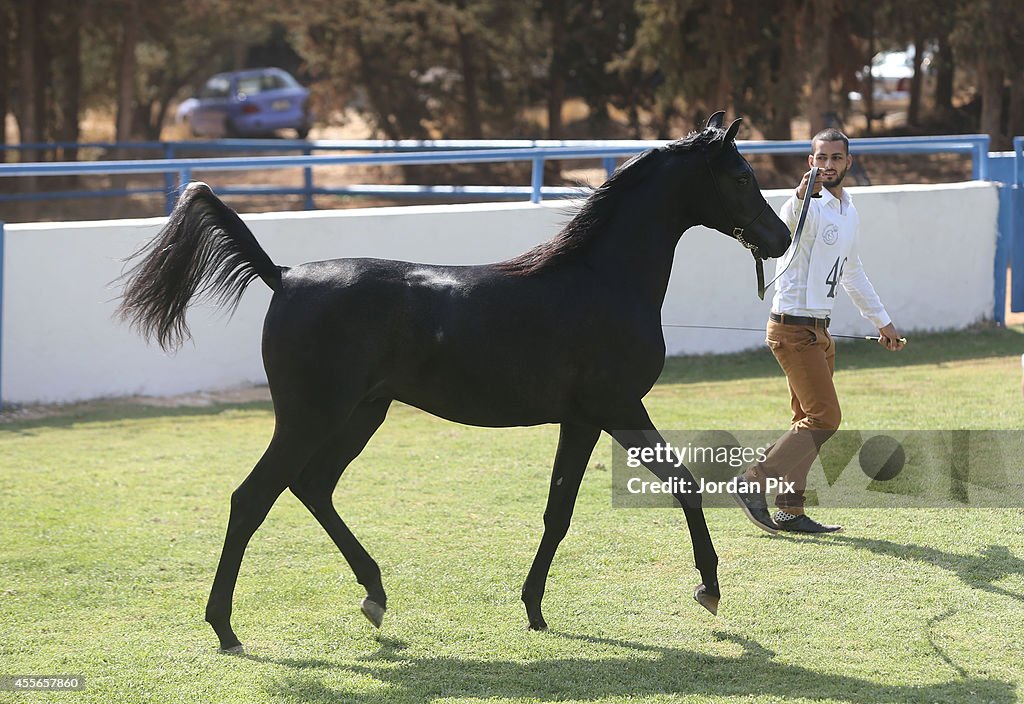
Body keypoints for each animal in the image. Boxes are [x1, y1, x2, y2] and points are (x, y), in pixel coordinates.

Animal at [116, 112, 786, 650]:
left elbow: (559, 512)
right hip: (311, 417)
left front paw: (534, 610)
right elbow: (685, 485)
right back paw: (226, 628)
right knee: (253, 497)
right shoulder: (619, 407)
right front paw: (709, 589)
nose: (778, 238)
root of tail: (281, 275)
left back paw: (374, 594)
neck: (600, 280)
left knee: (312, 486)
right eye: (739, 176)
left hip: (362, 414)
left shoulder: (581, 419)